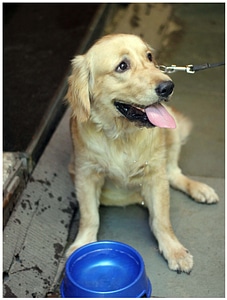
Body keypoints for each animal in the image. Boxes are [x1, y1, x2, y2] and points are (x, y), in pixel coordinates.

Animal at [65, 34, 218, 274]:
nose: (168, 86)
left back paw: (199, 188)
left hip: (172, 134)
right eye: (122, 66)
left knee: (174, 173)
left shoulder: (155, 176)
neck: (122, 136)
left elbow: (161, 221)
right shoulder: (86, 175)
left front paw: (174, 250)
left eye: (149, 57)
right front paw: (83, 243)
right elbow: (90, 216)